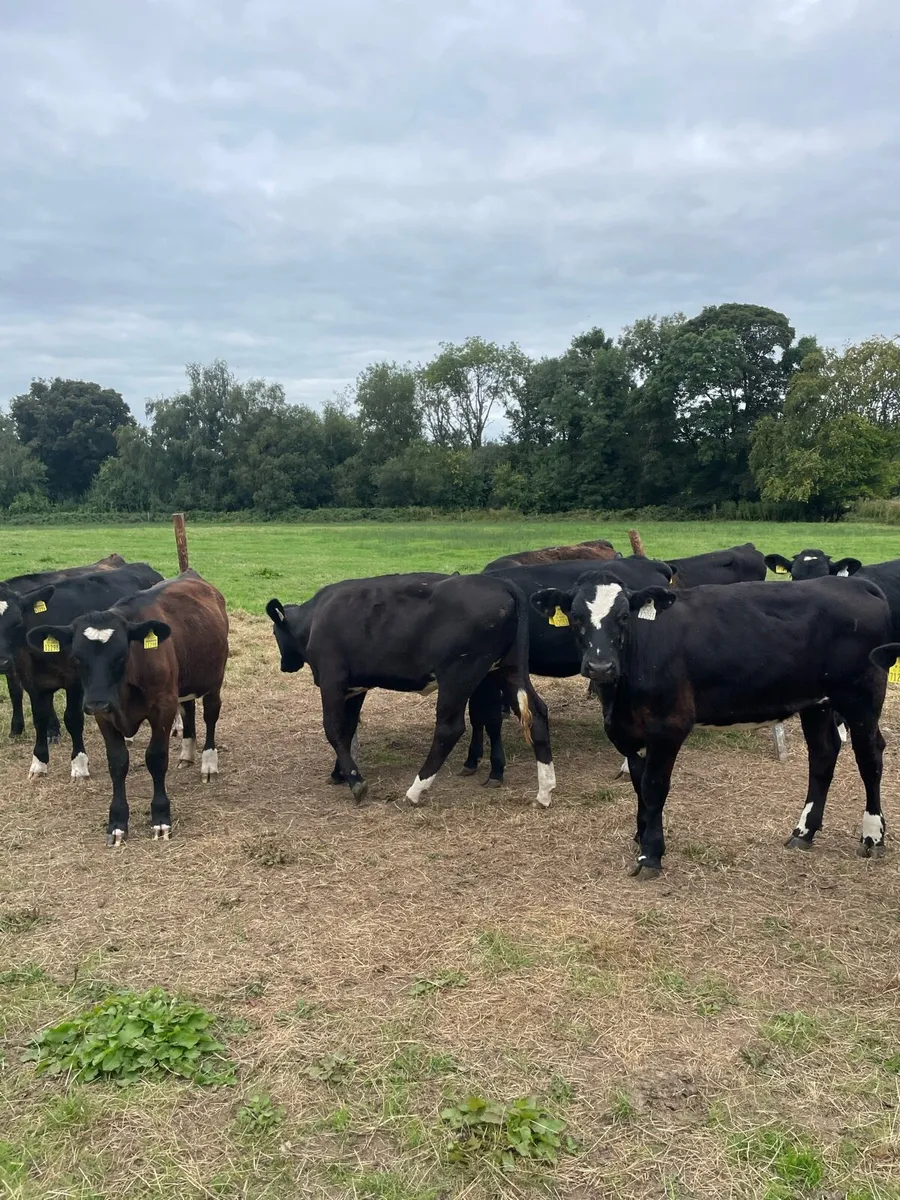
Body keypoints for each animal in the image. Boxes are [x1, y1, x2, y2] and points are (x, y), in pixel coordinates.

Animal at [1, 554, 126, 738]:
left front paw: (52, 730)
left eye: (17, 622)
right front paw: (18, 728)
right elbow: (17, 693)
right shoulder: (24, 673)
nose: (1, 662)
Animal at [27, 569, 228, 845]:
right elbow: (118, 762)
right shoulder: (105, 717)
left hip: (214, 680)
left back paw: (209, 763)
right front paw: (117, 823)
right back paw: (187, 754)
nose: (96, 702)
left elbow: (156, 758)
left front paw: (161, 818)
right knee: (188, 710)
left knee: (210, 715)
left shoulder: (163, 708)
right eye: (77, 657)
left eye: (121, 654)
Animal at [266, 572, 555, 808]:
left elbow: (334, 730)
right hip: (508, 669)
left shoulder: (332, 681)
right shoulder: (355, 687)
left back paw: (415, 791)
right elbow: (348, 730)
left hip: (459, 674)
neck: (315, 619)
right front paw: (340, 773)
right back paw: (544, 792)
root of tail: (501, 583)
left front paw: (355, 781)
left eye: (275, 632)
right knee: (537, 714)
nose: (284, 666)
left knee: (449, 729)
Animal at [531, 571, 892, 878]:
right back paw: (803, 832)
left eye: (622, 616)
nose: (600, 666)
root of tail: (855, 584)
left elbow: (653, 787)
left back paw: (872, 837)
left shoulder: (669, 726)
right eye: (575, 617)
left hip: (862, 695)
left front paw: (651, 854)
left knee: (870, 757)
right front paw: (641, 834)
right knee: (822, 755)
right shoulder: (629, 733)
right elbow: (638, 785)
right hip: (817, 702)